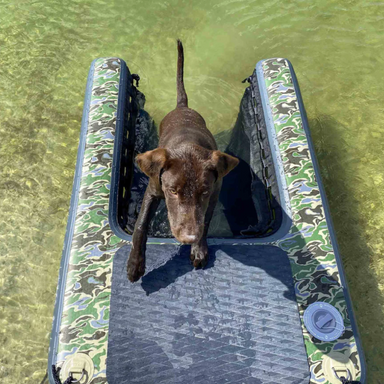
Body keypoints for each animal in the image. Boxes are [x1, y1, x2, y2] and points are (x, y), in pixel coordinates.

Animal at [127, 40, 238, 284]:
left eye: (203, 192)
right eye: (173, 191)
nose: (188, 238)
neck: (188, 145)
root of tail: (182, 106)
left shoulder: (214, 193)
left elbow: (204, 220)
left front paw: (199, 249)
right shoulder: (153, 190)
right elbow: (140, 225)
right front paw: (135, 264)